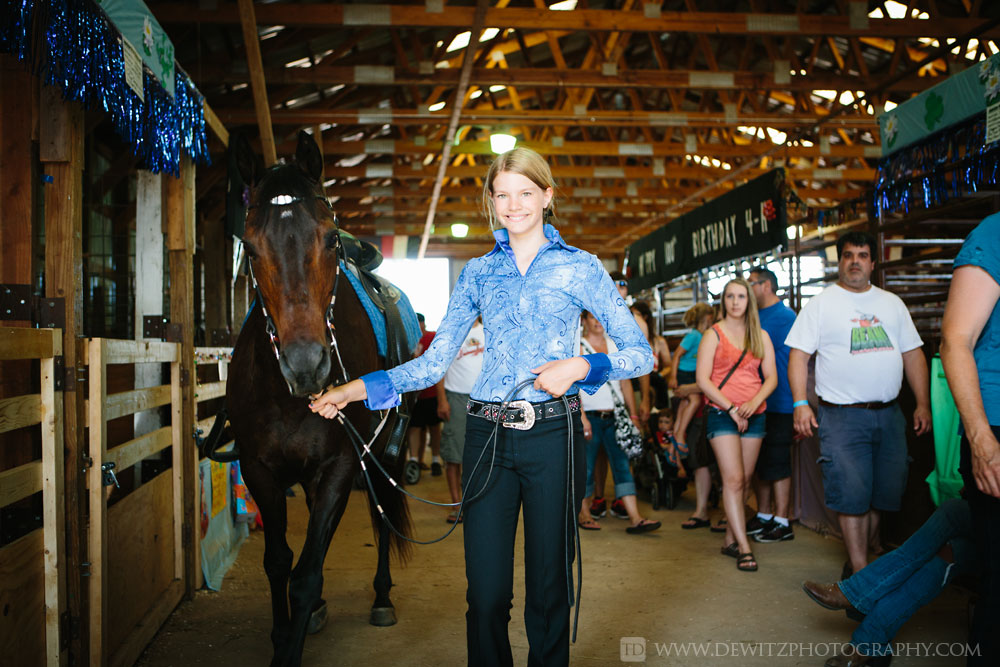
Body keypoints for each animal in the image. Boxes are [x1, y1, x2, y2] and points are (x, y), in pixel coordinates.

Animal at [227, 132, 410, 667]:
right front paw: (283, 630)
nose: (306, 364)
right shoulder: (259, 469)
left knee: (381, 519)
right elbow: (280, 562)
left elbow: (305, 573)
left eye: (330, 239)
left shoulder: (340, 467)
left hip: (384, 457)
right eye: (249, 246)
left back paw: (382, 598)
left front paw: (290, 645)